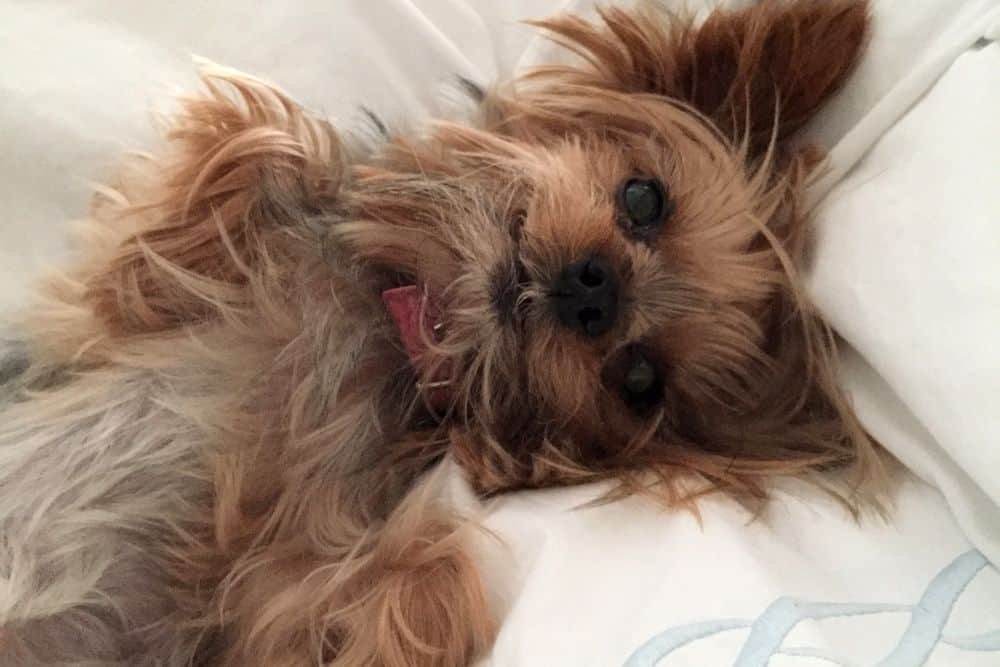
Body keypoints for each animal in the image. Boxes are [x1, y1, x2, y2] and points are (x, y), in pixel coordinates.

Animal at [0, 1, 892, 664]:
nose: (595, 291)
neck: (404, 331)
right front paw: (335, 188)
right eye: (644, 198)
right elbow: (259, 148)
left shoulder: (265, 578)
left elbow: (416, 584)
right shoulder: (90, 320)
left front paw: (396, 632)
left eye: (640, 380)